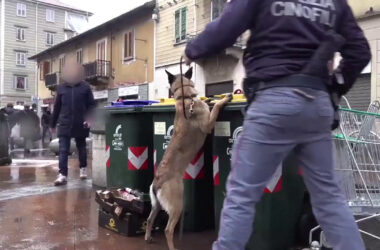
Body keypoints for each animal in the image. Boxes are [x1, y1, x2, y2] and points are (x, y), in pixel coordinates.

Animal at [144, 67, 230, 249]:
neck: (185, 99)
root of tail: (157, 182)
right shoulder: (208, 124)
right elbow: (216, 107)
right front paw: (223, 98)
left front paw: (212, 99)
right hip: (177, 205)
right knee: (168, 229)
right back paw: (172, 246)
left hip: (157, 206)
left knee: (149, 219)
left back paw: (148, 237)